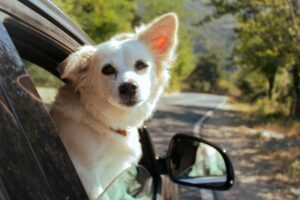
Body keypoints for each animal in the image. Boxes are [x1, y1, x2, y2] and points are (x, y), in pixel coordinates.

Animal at [50, 13, 178, 199]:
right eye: (107, 69)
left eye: (141, 65)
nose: (128, 87)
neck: (105, 122)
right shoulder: (87, 175)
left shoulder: (119, 171)